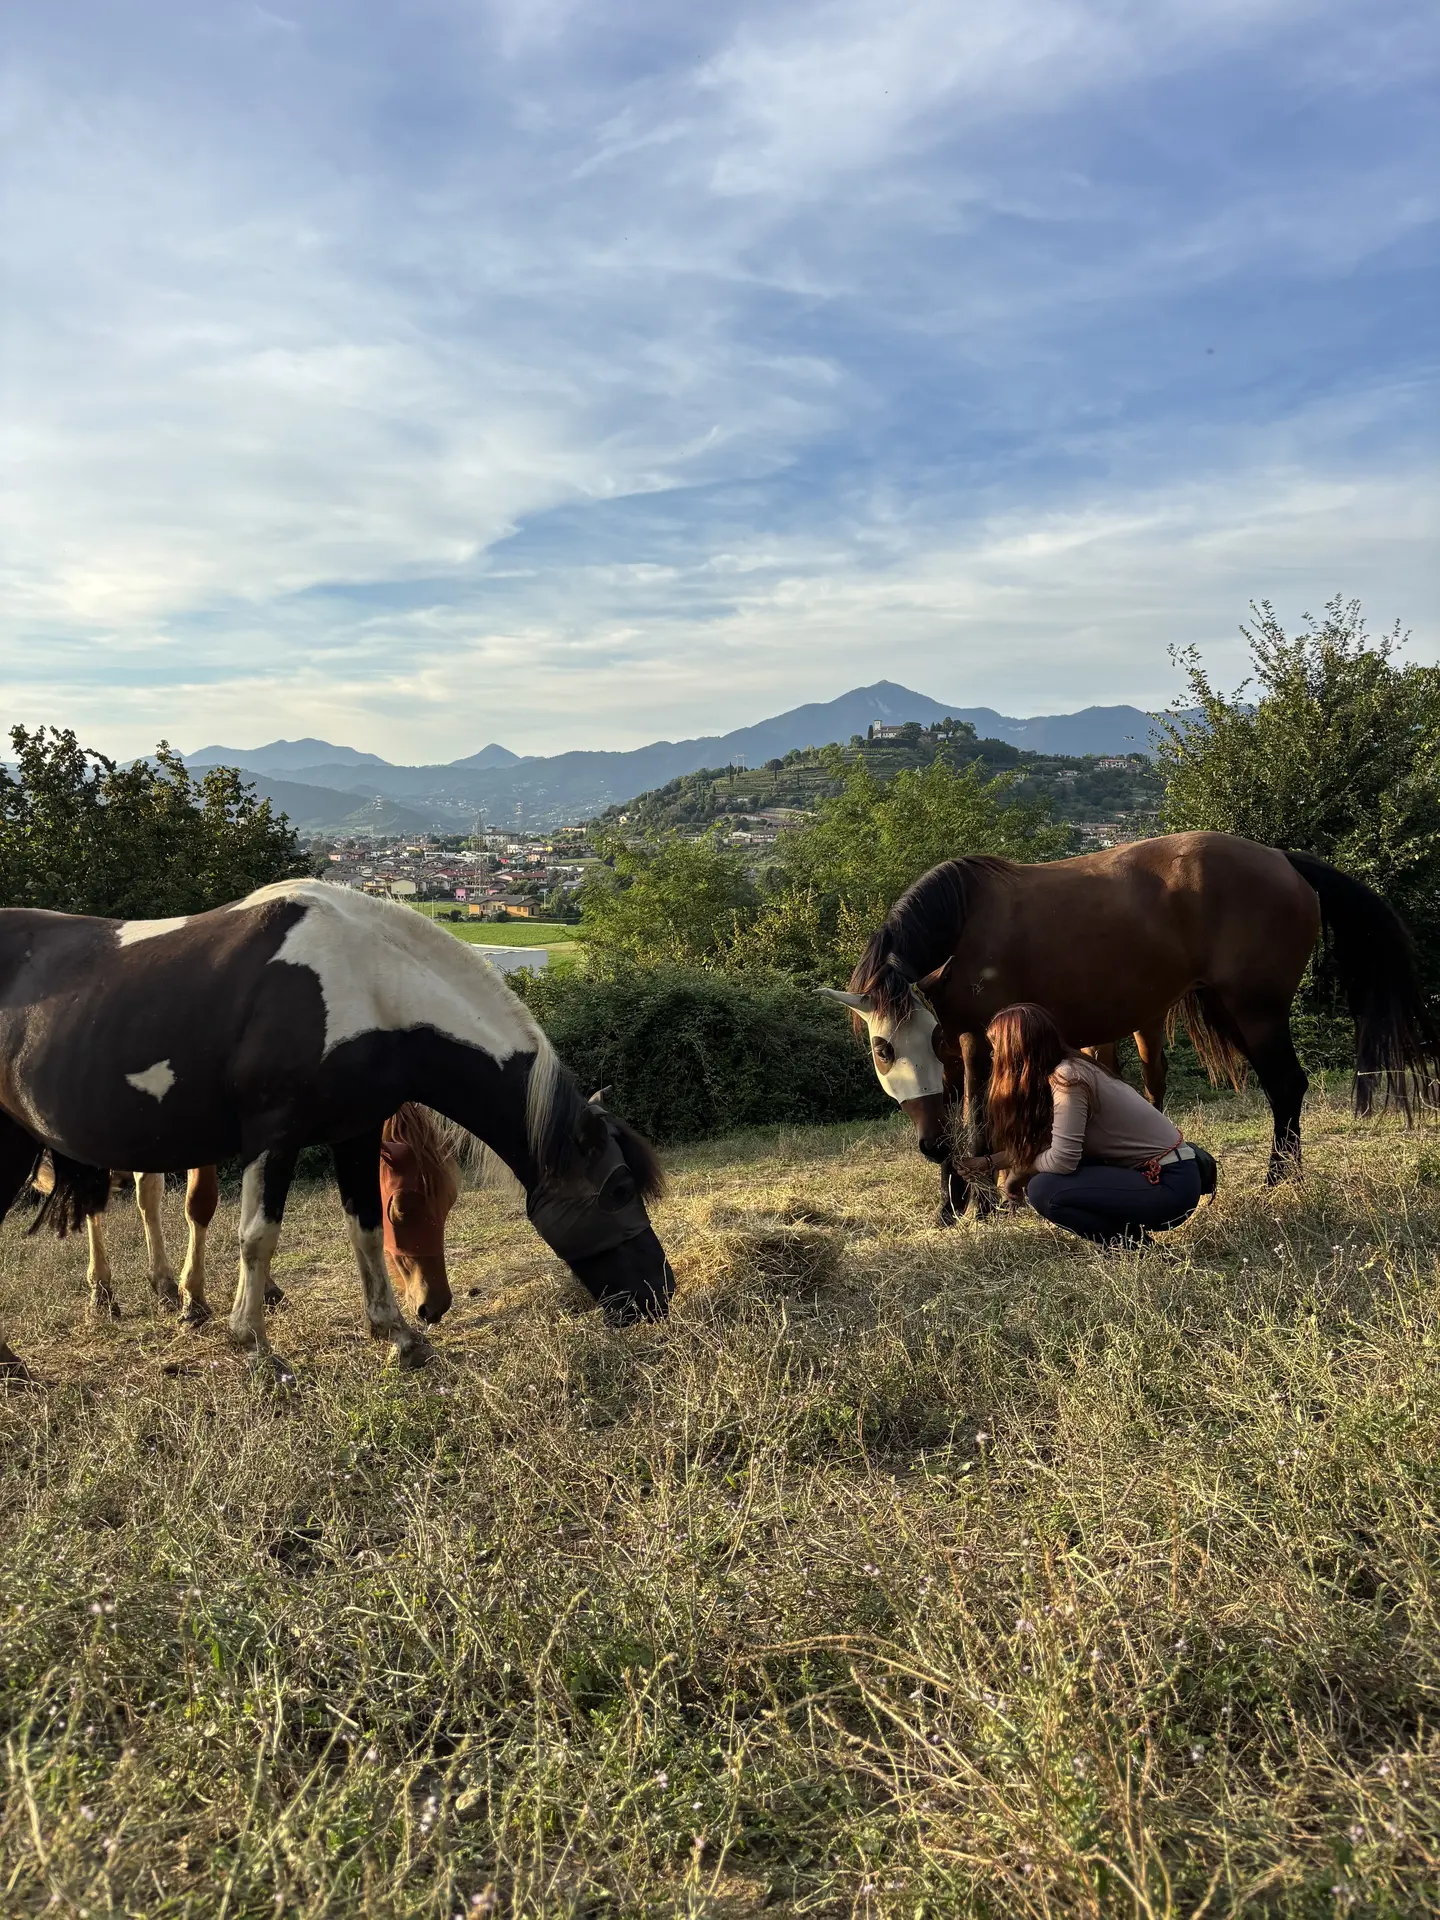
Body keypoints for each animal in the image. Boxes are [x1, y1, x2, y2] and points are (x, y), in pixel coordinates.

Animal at [0, 879, 672, 1379]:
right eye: (618, 1190)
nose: (658, 1296)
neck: (367, 982)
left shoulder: (356, 1132)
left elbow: (363, 1232)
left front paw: (398, 1337)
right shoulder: (273, 1139)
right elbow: (258, 1237)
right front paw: (255, 1346)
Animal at [821, 832, 1438, 1216]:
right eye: (884, 1048)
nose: (925, 1148)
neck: (965, 923)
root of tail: (1282, 859)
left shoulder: (979, 1039)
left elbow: (974, 1115)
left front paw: (980, 1202)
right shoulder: (956, 1042)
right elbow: (952, 1109)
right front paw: (952, 1205)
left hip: (1256, 1010)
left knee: (1286, 1085)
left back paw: (1278, 1179)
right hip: (1224, 1008)